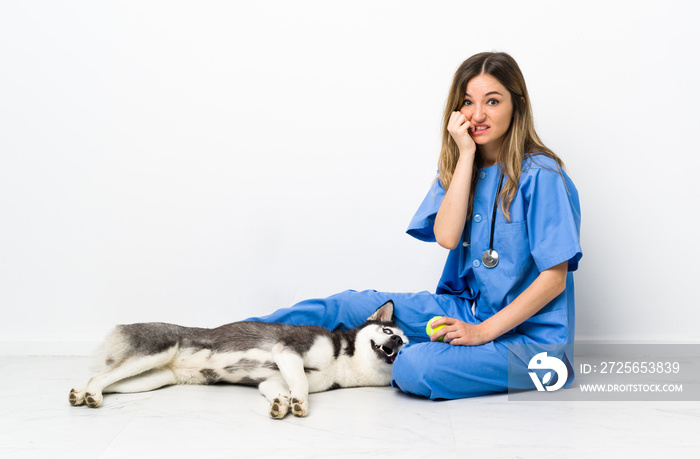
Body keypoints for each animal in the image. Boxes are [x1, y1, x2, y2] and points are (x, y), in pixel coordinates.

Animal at [68, 300, 408, 418]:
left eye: (404, 343)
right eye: (387, 329)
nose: (395, 341)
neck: (344, 361)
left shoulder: (273, 379)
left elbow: (280, 390)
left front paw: (282, 403)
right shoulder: (288, 350)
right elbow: (299, 381)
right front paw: (298, 402)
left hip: (149, 379)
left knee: (103, 381)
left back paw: (84, 394)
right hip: (153, 354)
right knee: (99, 377)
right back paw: (91, 394)